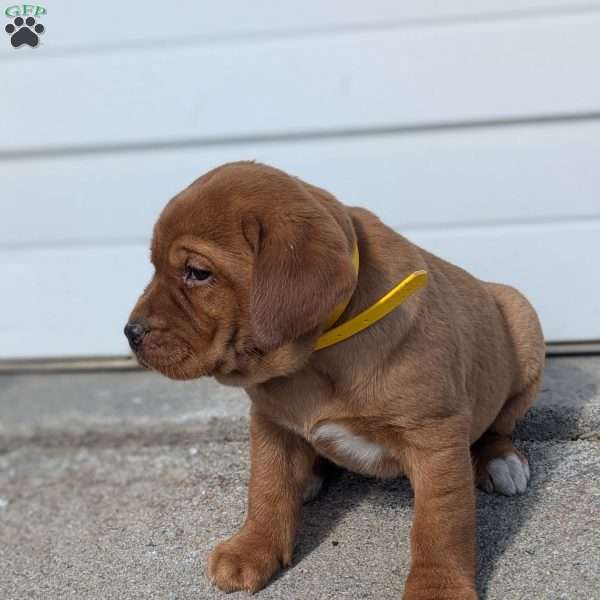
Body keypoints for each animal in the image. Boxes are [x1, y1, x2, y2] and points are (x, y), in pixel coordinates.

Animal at [125, 162, 544, 596]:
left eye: (197, 273)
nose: (129, 332)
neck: (315, 357)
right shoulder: (270, 421)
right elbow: (266, 487)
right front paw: (253, 547)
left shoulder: (435, 435)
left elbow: (441, 521)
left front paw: (438, 587)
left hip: (522, 318)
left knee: (496, 426)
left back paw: (500, 460)